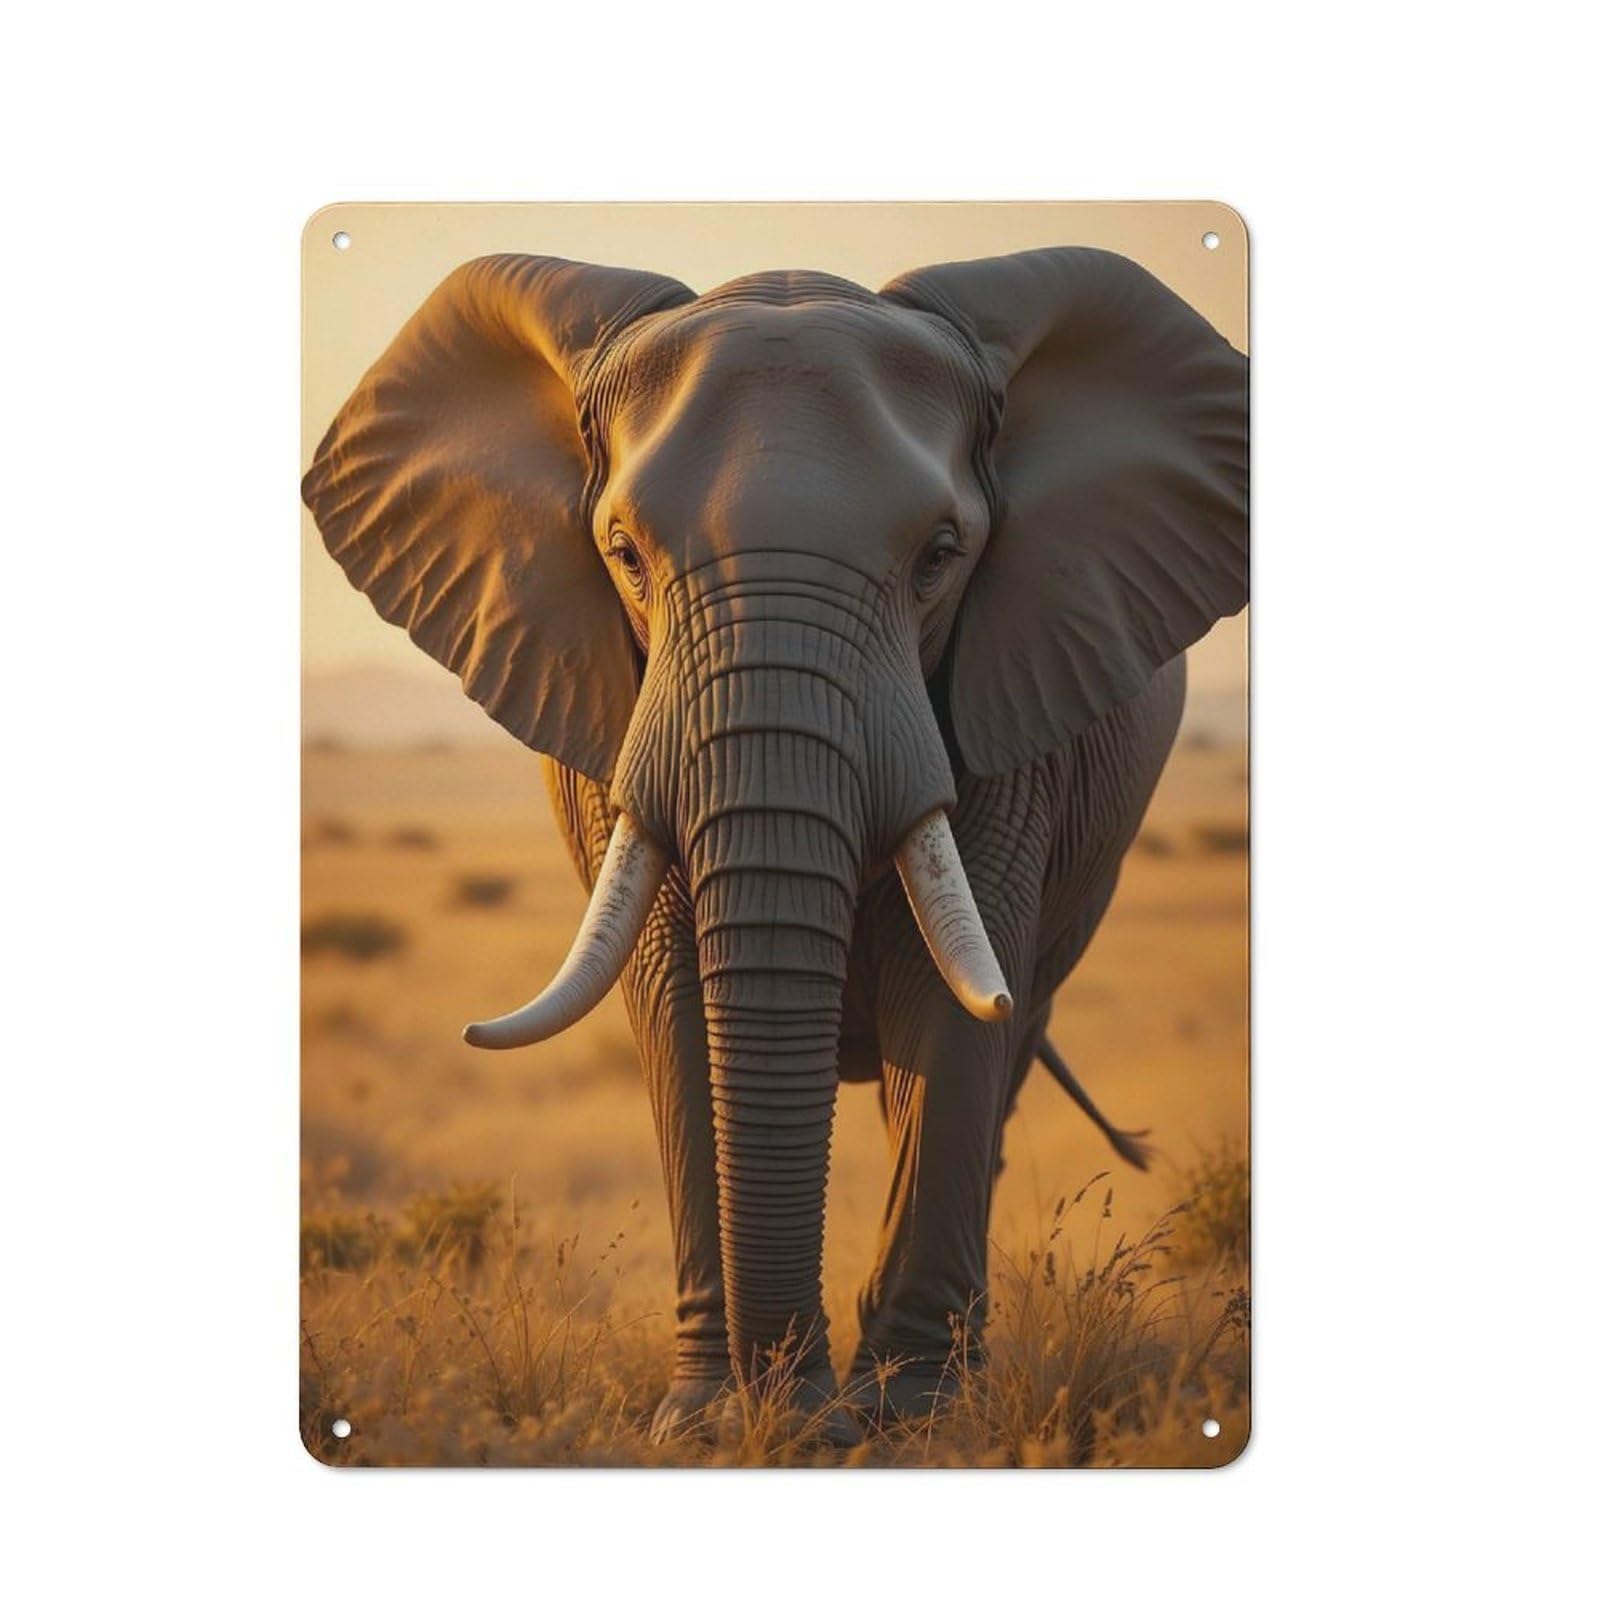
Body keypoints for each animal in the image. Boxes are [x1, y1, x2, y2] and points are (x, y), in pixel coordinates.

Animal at [302, 245, 1248, 1444]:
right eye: (623, 554)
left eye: (941, 556)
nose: (799, 1418)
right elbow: (673, 996)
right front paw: (710, 1425)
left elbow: (946, 1002)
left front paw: (907, 1427)